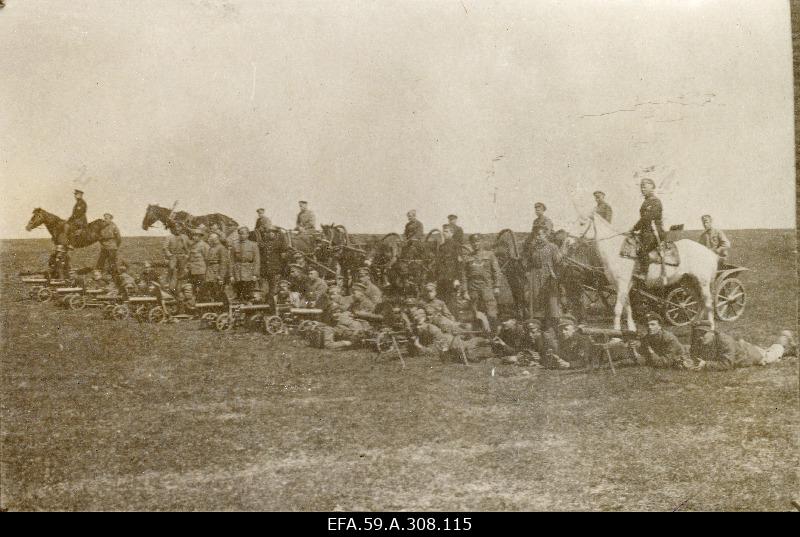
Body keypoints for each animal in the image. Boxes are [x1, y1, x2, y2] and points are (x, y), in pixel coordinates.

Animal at [564, 213, 720, 330]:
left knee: (708, 302)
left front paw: (615, 331)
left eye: (582, 223)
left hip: (703, 282)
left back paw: (711, 328)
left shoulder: (622, 283)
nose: (567, 241)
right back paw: (695, 323)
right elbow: (627, 306)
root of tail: (711, 253)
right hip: (690, 282)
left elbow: (618, 308)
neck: (616, 251)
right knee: (699, 301)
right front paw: (631, 328)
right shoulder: (622, 284)